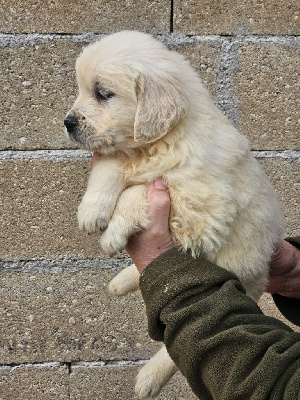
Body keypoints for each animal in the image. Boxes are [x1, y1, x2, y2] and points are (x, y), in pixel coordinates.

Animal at [64, 32, 284, 400]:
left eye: (103, 93)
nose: (67, 123)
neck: (157, 144)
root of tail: (264, 269)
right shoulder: (125, 157)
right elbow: (111, 167)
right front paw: (91, 210)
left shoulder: (199, 201)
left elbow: (137, 192)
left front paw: (112, 232)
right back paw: (121, 281)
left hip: (231, 272)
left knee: (184, 341)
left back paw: (147, 379)